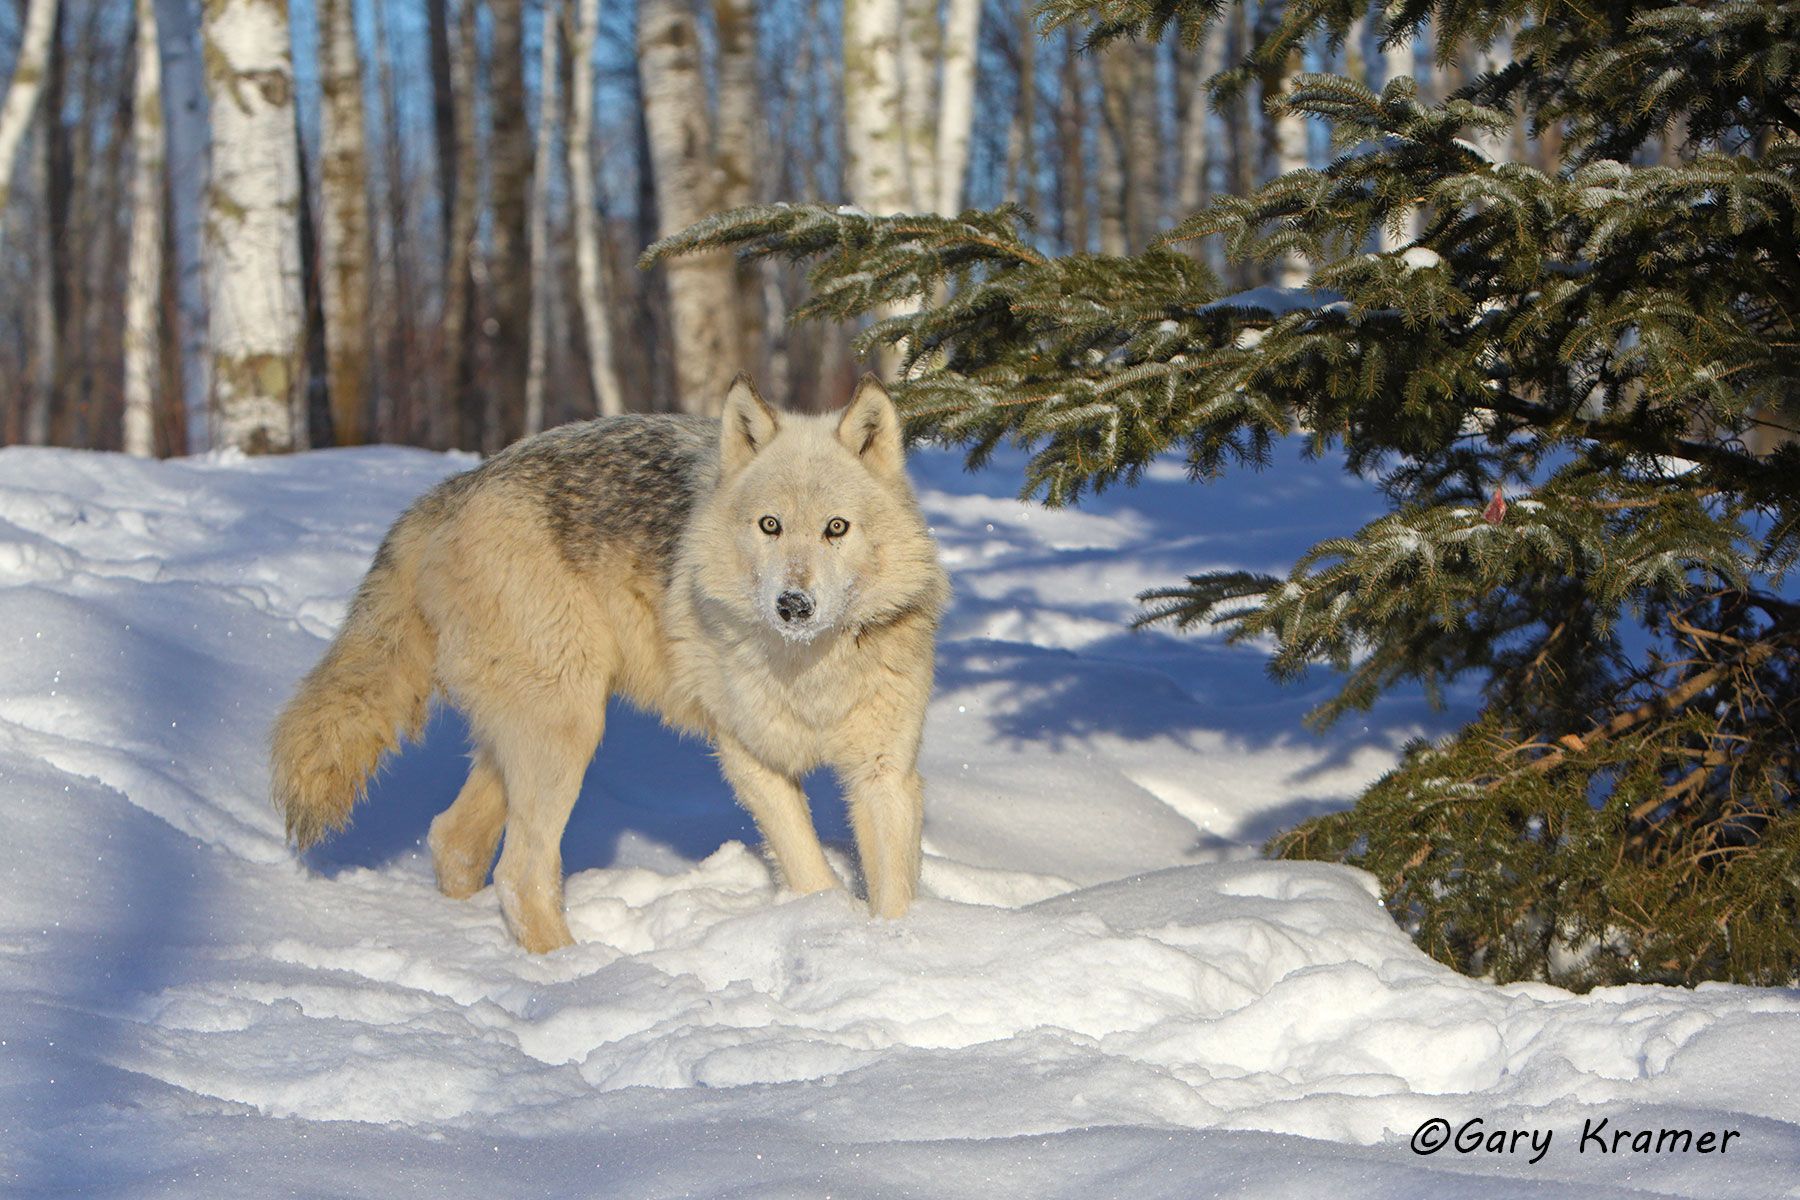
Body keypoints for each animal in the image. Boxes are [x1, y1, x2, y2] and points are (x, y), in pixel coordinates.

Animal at [271, 375, 948, 953]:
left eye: (837, 528)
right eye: (770, 526)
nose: (793, 604)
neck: (808, 666)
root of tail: (457, 486)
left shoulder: (884, 773)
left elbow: (893, 893)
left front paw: (892, 950)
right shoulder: (750, 757)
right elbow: (811, 874)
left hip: (529, 735)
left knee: (453, 840)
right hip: (568, 727)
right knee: (521, 873)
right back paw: (580, 974)